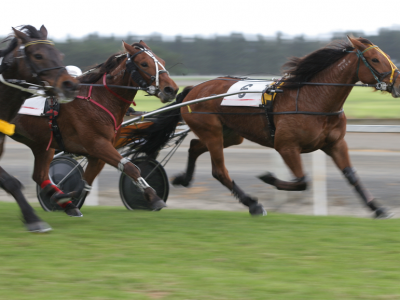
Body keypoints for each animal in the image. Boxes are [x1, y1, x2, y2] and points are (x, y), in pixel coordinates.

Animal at [9, 40, 178, 218]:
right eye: (144, 63)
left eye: (162, 61)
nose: (171, 89)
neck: (99, 99)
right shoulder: (98, 145)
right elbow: (131, 168)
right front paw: (154, 197)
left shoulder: (98, 152)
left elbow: (85, 182)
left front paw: (65, 198)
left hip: (41, 144)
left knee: (40, 175)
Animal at [126, 37, 400, 218]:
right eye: (375, 59)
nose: (397, 82)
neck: (313, 99)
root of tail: (194, 89)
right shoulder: (286, 146)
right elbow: (302, 180)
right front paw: (268, 178)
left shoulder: (335, 143)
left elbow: (351, 175)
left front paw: (378, 208)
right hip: (212, 130)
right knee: (219, 171)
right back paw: (252, 204)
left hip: (230, 134)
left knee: (194, 145)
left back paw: (184, 178)